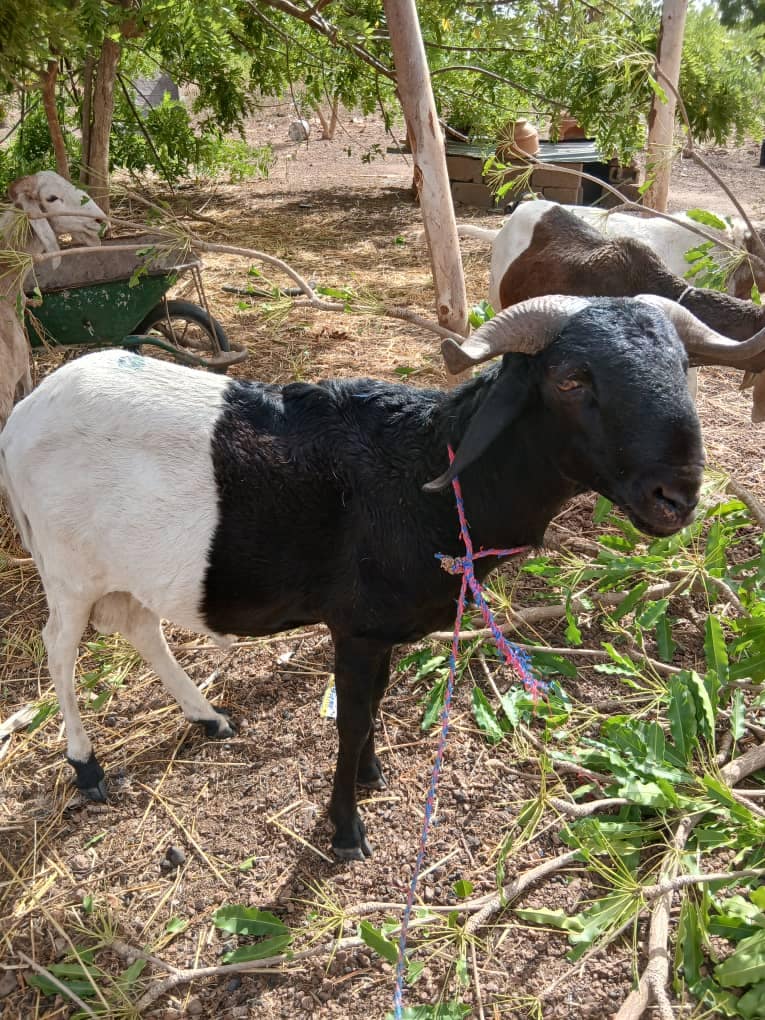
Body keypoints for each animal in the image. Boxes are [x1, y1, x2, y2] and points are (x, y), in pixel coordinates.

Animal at [3, 296, 763, 859]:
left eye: (684, 368)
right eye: (570, 379)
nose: (676, 495)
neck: (430, 474)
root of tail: (23, 416)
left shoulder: (382, 629)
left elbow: (375, 706)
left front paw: (372, 775)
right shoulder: (357, 627)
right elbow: (352, 718)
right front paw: (345, 829)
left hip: (124, 565)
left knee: (139, 626)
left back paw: (208, 717)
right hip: (67, 567)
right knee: (60, 649)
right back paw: (87, 765)